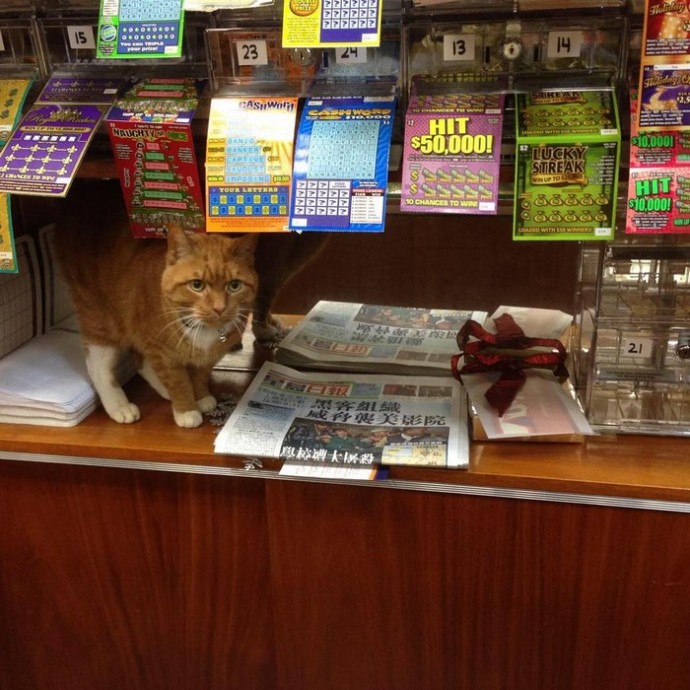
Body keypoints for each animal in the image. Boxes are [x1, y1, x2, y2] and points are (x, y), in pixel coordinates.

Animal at [54, 188, 258, 424]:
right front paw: (186, 410)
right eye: (197, 285)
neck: (203, 329)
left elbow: (199, 376)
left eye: (234, 285)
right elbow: (178, 382)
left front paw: (201, 397)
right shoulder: (161, 352)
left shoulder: (208, 357)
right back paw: (120, 406)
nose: (219, 308)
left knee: (140, 362)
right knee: (98, 365)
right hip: (100, 315)